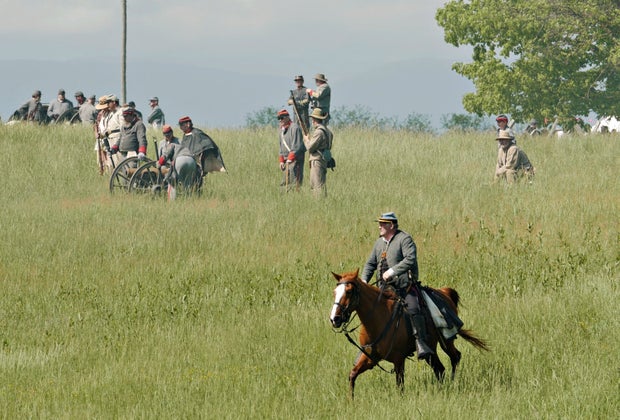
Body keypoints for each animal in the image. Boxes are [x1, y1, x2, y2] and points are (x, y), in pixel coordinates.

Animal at [329, 269, 489, 398]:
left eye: (349, 291)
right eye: (335, 292)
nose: (334, 319)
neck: (379, 318)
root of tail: (444, 292)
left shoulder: (399, 359)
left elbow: (400, 385)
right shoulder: (370, 358)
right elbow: (352, 374)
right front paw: (351, 400)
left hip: (446, 341)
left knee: (455, 357)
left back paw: (452, 383)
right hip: (431, 350)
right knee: (440, 369)